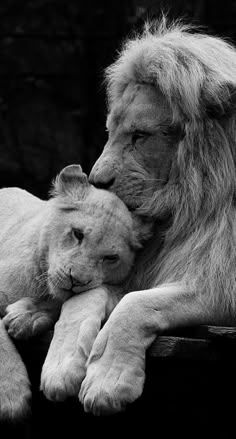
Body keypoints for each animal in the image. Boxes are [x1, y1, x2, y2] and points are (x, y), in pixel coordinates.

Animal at [42, 18, 236, 416]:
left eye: (140, 135)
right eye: (110, 131)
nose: (96, 180)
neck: (189, 207)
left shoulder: (222, 283)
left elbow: (137, 303)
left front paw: (108, 381)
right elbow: (83, 298)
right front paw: (61, 367)